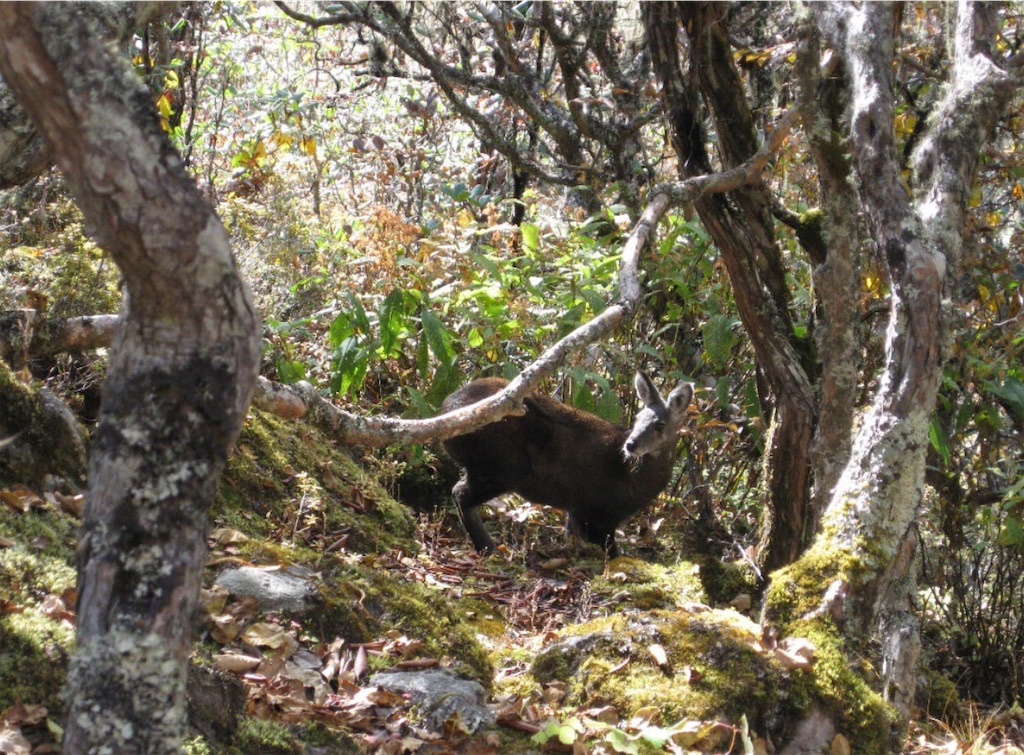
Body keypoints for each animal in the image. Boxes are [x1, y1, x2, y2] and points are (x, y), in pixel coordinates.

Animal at [442, 374, 696, 557]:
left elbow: (570, 539)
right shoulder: (600, 511)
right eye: (637, 418)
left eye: (660, 424)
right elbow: (611, 552)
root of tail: (446, 405)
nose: (631, 444)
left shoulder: (578, 509)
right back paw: (489, 548)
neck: (632, 478)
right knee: (460, 493)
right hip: (499, 465)